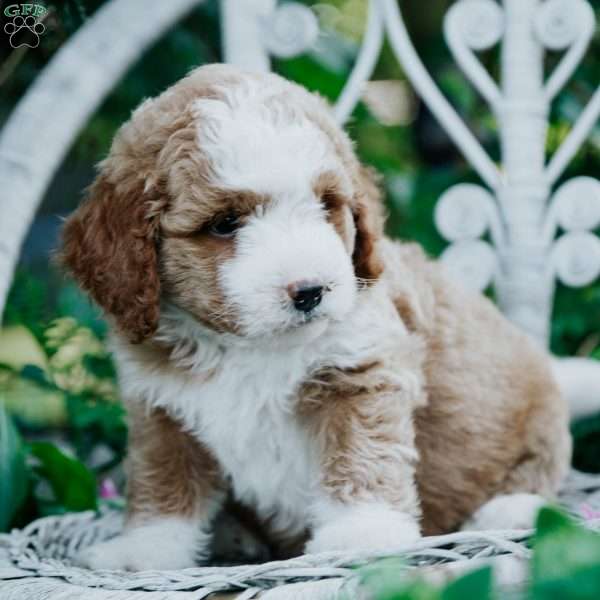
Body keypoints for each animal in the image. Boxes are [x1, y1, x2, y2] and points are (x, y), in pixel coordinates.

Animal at [62, 65, 572, 572]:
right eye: (225, 223)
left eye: (327, 204)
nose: (310, 291)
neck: (249, 348)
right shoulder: (161, 408)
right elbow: (162, 479)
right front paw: (144, 549)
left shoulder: (361, 371)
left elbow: (360, 451)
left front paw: (363, 533)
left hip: (538, 412)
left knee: (541, 466)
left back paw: (510, 508)